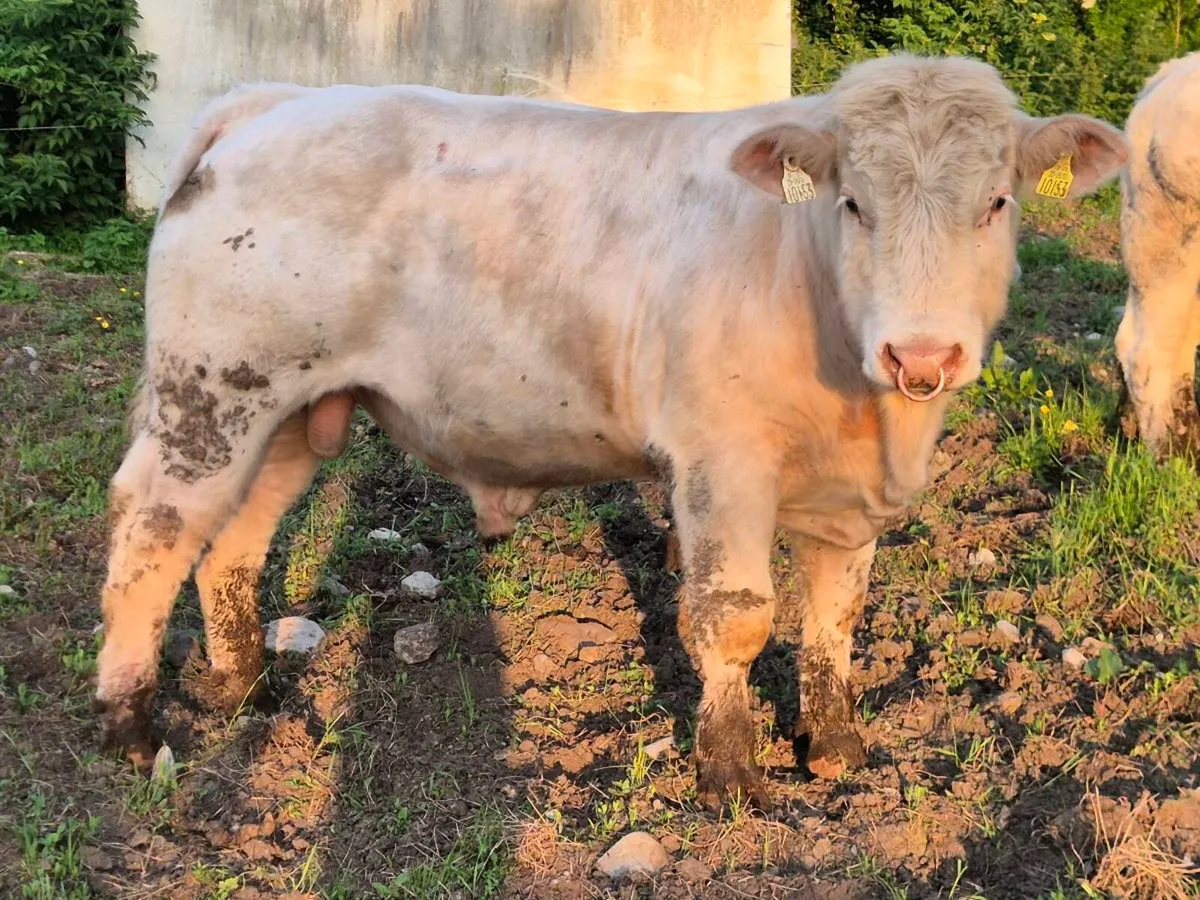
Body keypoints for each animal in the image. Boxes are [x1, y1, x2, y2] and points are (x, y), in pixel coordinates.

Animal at [96, 53, 1127, 809]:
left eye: (996, 203)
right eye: (852, 203)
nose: (922, 353)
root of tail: (279, 100)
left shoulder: (849, 493)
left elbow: (835, 616)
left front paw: (835, 746)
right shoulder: (719, 460)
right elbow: (733, 616)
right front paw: (730, 774)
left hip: (290, 414)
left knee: (231, 542)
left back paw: (236, 686)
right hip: (210, 392)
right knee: (152, 536)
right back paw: (135, 731)